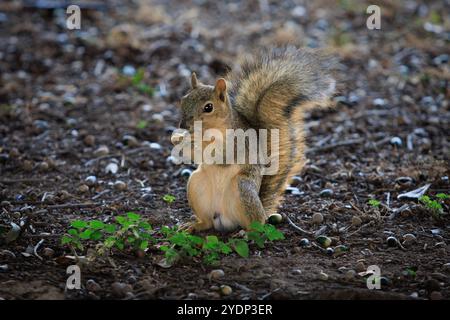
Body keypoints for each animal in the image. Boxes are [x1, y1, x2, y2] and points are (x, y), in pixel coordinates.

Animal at [171, 47, 336, 232]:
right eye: (183, 100)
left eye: (208, 107)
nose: (183, 125)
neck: (209, 130)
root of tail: (224, 219)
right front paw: (178, 139)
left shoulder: (238, 142)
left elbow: (221, 156)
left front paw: (192, 142)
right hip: (196, 184)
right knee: (207, 222)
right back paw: (195, 225)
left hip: (243, 188)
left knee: (257, 224)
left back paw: (246, 232)